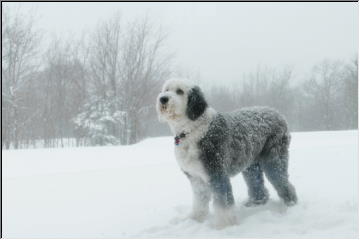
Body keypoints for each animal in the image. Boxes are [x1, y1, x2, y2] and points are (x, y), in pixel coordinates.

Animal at [156, 79, 296, 229]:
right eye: (166, 89)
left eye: (180, 91)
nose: (163, 99)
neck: (191, 129)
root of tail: (277, 113)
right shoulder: (196, 177)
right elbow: (199, 201)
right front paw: (195, 219)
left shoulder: (217, 173)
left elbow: (223, 202)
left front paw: (223, 225)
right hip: (251, 165)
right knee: (257, 184)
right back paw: (255, 204)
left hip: (274, 159)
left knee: (283, 182)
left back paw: (290, 205)